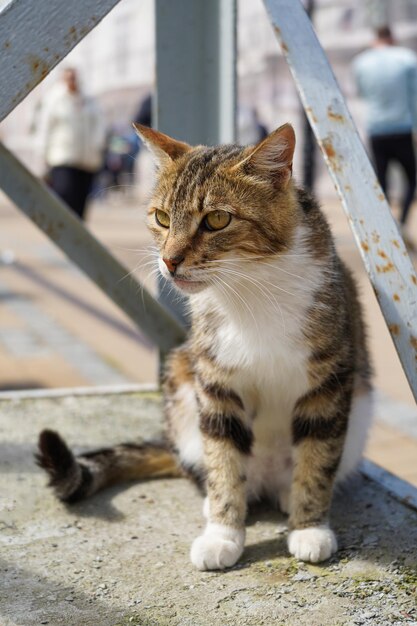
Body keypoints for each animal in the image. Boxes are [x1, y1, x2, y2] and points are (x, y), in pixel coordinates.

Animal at [37, 122, 372, 572]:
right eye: (161, 218)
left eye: (216, 219)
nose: (169, 260)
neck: (250, 289)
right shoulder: (215, 380)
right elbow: (224, 460)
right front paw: (222, 534)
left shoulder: (329, 380)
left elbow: (317, 459)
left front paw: (310, 528)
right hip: (182, 384)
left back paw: (287, 494)